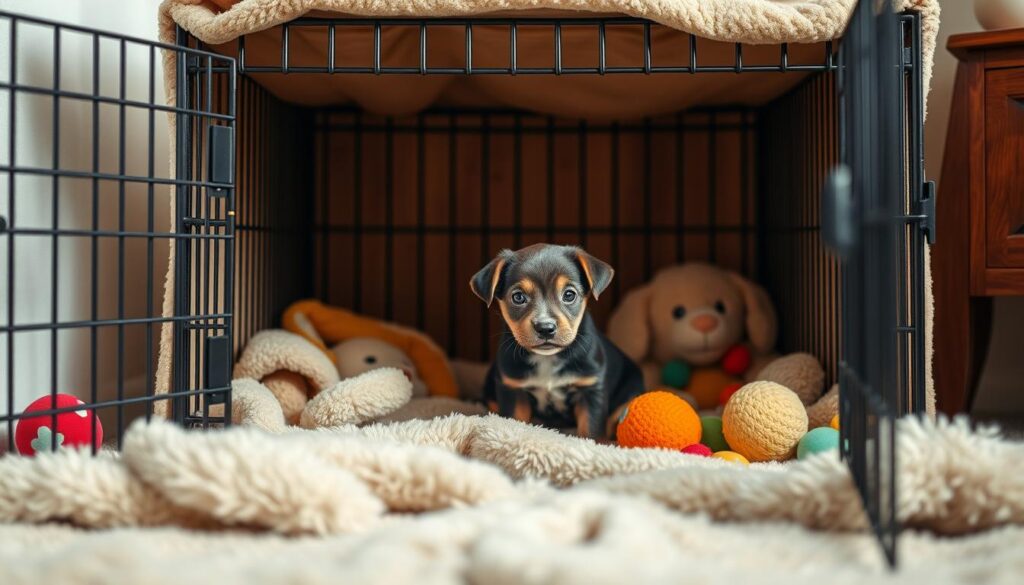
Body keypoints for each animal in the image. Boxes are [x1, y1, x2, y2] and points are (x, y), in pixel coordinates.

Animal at [468, 242, 643, 438]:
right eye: (518, 297)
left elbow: (591, 429)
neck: (547, 359)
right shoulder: (512, 389)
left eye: (569, 294)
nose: (545, 327)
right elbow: (514, 420)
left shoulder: (591, 389)